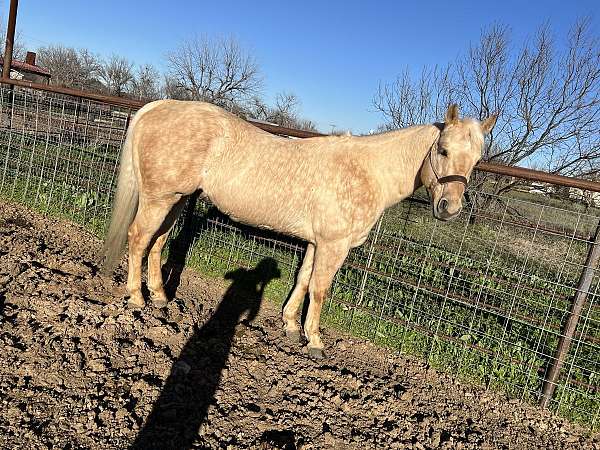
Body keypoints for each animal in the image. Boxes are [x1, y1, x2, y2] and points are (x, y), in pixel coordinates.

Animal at [102, 101, 496, 358]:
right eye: (443, 151)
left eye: (477, 161)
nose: (449, 209)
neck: (367, 171)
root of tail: (158, 106)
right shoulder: (335, 245)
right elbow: (320, 289)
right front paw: (315, 341)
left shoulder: (317, 243)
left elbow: (303, 280)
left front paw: (291, 327)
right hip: (159, 198)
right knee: (138, 238)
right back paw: (136, 298)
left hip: (177, 198)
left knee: (157, 241)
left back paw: (160, 298)